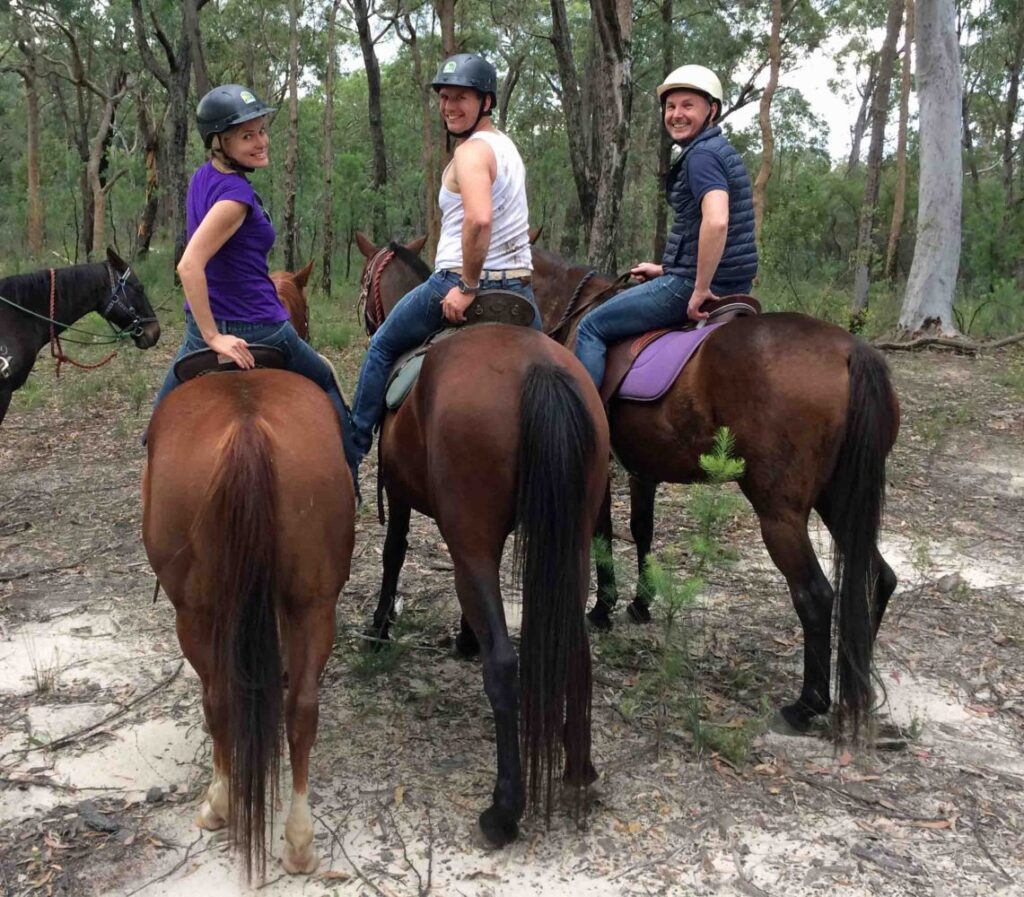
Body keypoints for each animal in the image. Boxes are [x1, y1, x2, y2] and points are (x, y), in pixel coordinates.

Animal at [142, 368, 354, 880]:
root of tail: (247, 428)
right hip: (314, 603)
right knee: (301, 710)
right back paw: (299, 840)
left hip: (195, 614)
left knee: (217, 699)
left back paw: (219, 803)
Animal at [356, 234, 606, 843]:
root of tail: (539, 369)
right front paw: (463, 636)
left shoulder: (409, 501)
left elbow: (394, 555)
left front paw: (380, 628)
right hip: (572, 541)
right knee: (574, 647)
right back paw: (579, 771)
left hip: (477, 536)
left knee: (505, 663)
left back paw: (504, 808)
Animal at [532, 246, 901, 741]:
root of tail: (851, 351)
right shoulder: (643, 469)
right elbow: (642, 530)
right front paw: (641, 603)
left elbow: (604, 532)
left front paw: (603, 608)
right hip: (840, 500)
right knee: (878, 578)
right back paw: (850, 687)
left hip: (779, 513)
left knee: (815, 595)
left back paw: (807, 704)